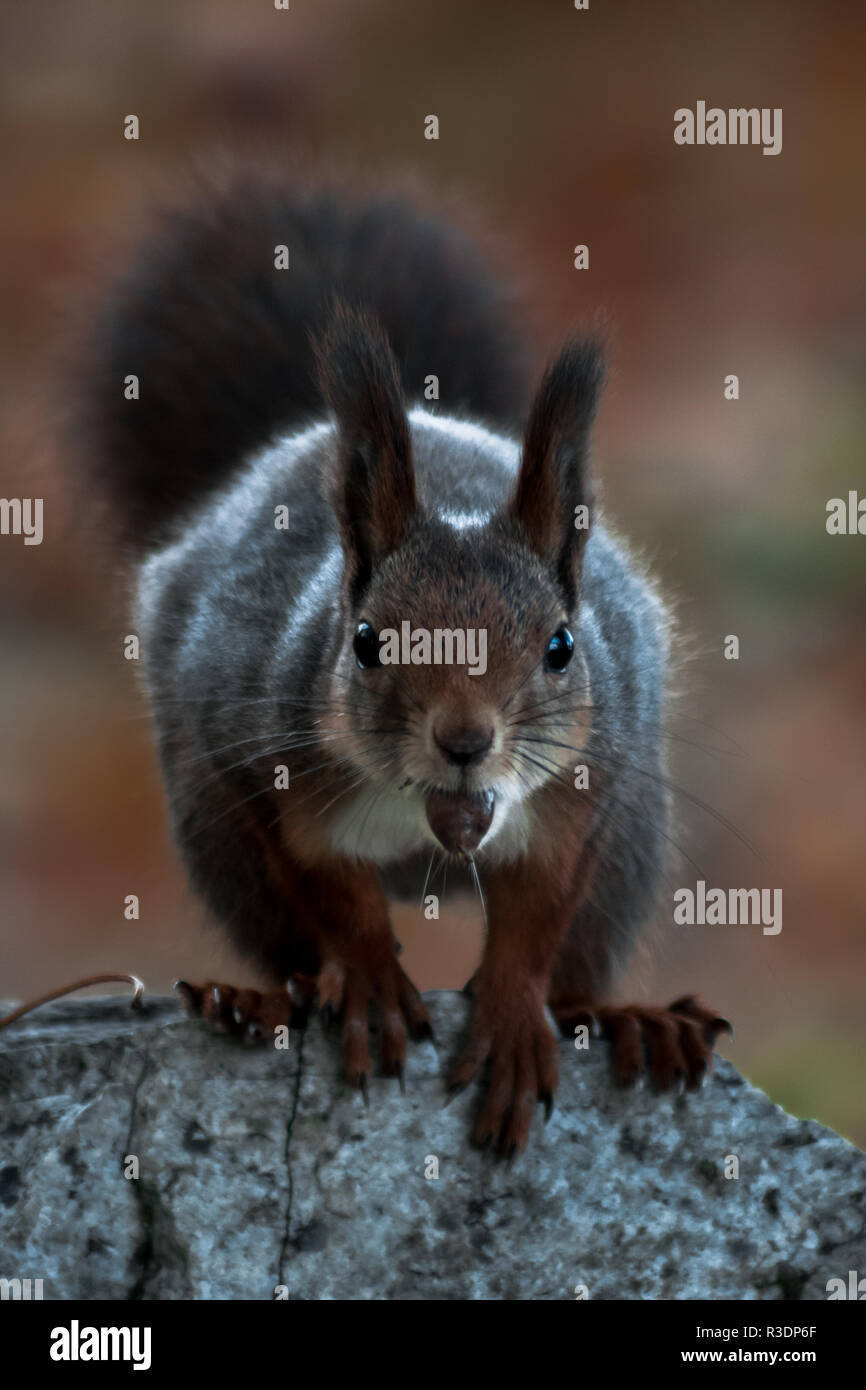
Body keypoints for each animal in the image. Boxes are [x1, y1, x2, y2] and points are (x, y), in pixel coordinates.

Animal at [79, 173, 733, 1150]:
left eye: (561, 646)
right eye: (365, 640)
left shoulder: (584, 797)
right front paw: (372, 986)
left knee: (582, 962)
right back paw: (259, 1004)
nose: (464, 742)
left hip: (633, 842)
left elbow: (536, 921)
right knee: (286, 944)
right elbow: (333, 895)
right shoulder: (271, 771)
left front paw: (513, 1017)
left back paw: (626, 1020)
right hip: (214, 829)